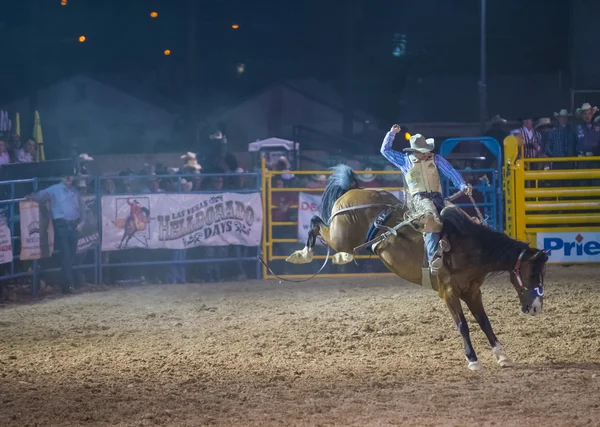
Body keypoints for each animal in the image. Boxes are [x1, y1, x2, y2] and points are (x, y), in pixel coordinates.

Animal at [286, 166, 548, 372]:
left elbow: (484, 322)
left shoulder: (473, 292)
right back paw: (304, 255)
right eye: (533, 273)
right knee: (315, 223)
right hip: (339, 235)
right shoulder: (448, 293)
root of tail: (353, 191)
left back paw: (340, 257)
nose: (536, 307)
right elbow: (463, 325)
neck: (467, 247)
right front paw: (473, 360)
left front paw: (502, 355)